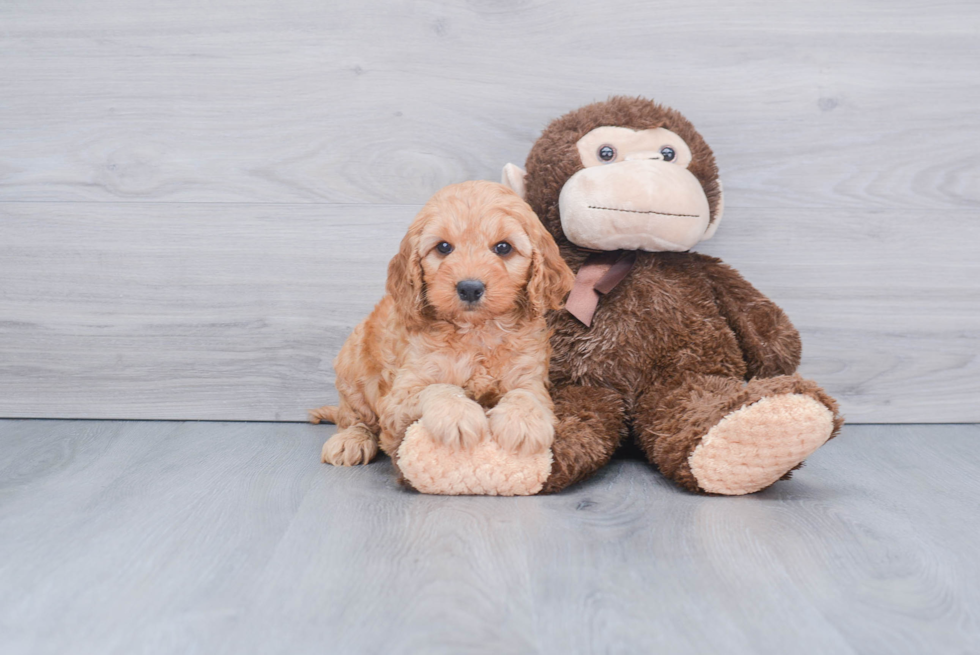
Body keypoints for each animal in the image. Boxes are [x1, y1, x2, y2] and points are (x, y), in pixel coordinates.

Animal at [310, 179, 576, 486]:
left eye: (503, 247)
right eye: (444, 247)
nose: (470, 288)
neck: (476, 331)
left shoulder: (530, 377)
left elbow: (525, 395)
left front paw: (523, 423)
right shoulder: (399, 395)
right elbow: (439, 387)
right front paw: (457, 416)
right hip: (351, 367)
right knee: (355, 418)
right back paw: (350, 441)